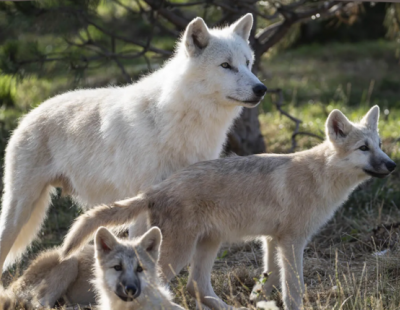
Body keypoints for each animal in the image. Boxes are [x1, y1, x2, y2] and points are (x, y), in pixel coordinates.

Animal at [0, 12, 268, 274]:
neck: (182, 119)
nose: (261, 89)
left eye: (247, 63)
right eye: (226, 65)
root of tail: (30, 113)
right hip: (19, 209)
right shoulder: (144, 202)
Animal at [61, 106, 396, 310]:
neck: (320, 177)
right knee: (177, 287)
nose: (392, 165)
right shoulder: (292, 242)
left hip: (210, 244)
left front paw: (256, 299)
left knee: (196, 285)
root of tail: (156, 189)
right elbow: (294, 287)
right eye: (363, 148)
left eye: (379, 145)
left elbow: (268, 279)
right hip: (180, 253)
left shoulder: (271, 241)